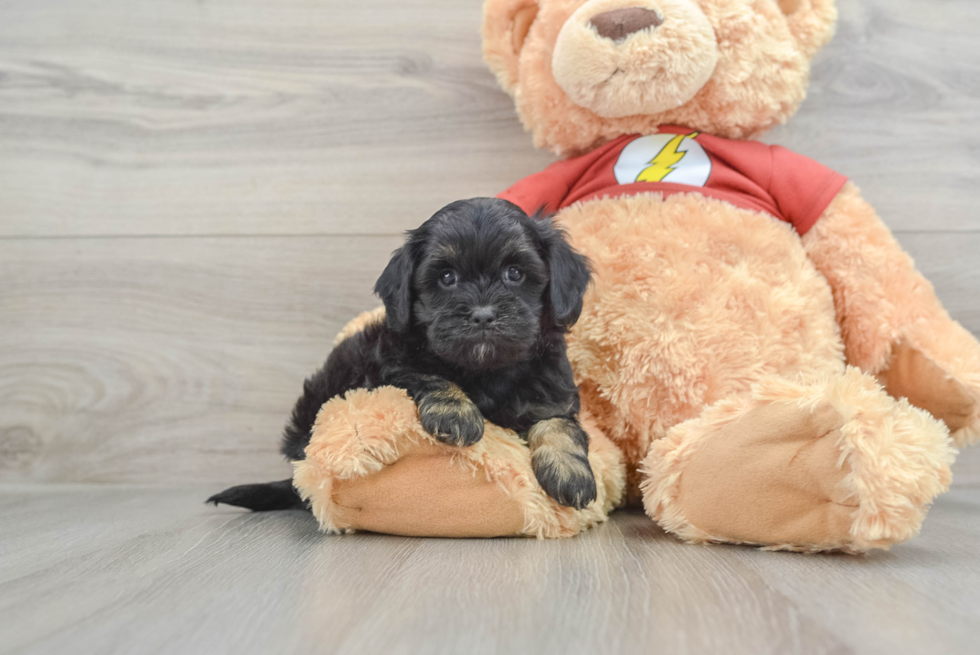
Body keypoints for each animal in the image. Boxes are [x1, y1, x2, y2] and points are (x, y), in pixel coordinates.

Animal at [209, 199, 596, 512]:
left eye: (514, 273)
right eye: (447, 277)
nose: (483, 315)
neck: (486, 370)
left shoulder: (551, 392)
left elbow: (559, 425)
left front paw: (570, 473)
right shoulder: (391, 364)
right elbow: (429, 375)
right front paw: (456, 414)